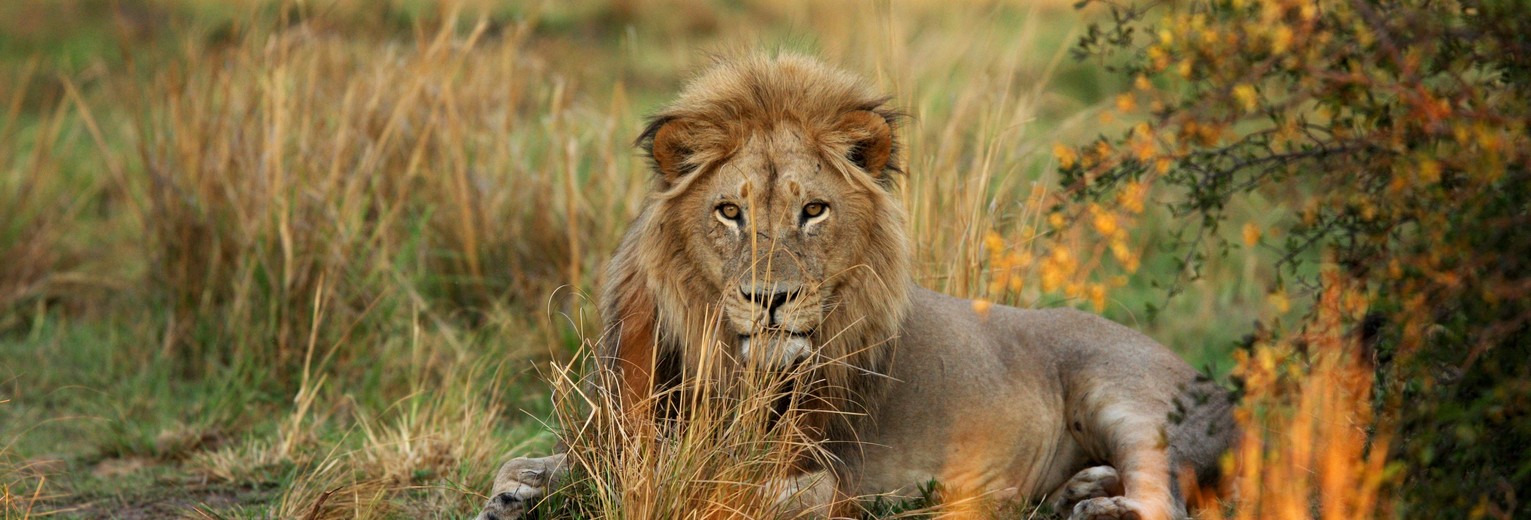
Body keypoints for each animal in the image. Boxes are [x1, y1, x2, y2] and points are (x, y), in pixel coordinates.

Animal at [483, 53, 1237, 520]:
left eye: (812, 211)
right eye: (729, 212)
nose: (770, 300)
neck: (720, 358)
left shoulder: (821, 473)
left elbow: (741, 492)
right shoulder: (614, 433)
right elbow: (534, 465)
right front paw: (513, 497)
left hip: (1127, 395)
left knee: (1167, 499)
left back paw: (1094, 505)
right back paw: (1078, 492)